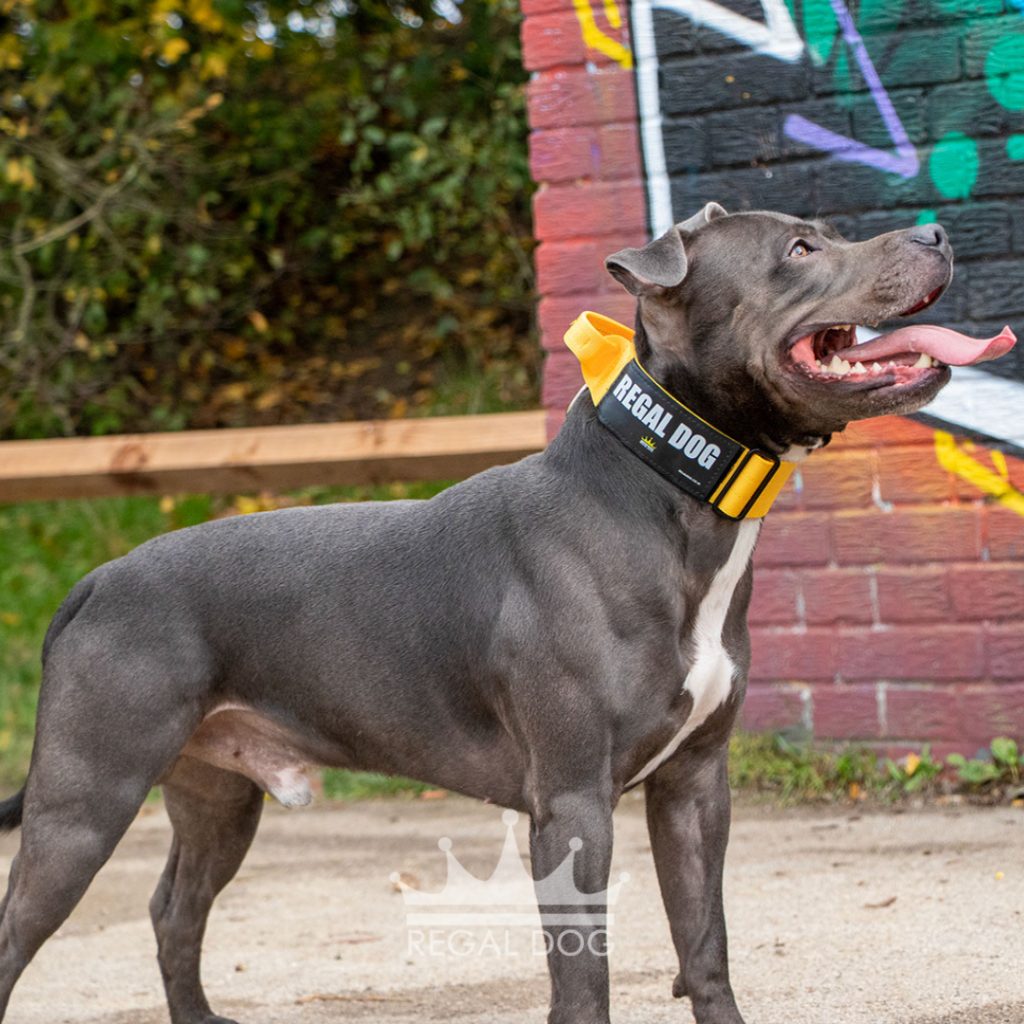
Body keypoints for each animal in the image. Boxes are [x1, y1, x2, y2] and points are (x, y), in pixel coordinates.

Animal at [0, 201, 1015, 1024]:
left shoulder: (695, 790)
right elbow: (584, 976)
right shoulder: (572, 806)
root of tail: (97, 579)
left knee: (175, 913)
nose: (937, 233)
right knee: (23, 934)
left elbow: (706, 947)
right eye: (801, 249)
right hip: (85, 801)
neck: (670, 487)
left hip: (216, 795)